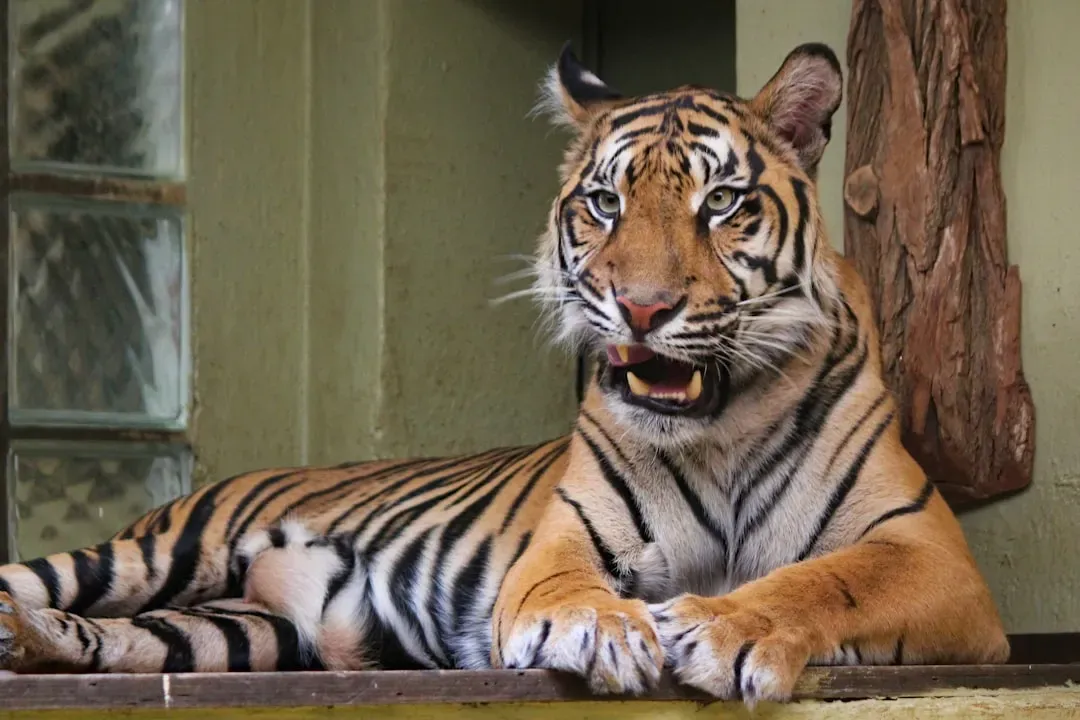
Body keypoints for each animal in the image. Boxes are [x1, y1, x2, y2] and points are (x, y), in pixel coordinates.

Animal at [0, 41, 1009, 705]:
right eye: (604, 203)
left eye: (722, 203)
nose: (643, 307)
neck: (718, 429)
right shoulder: (563, 541)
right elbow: (569, 587)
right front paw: (602, 627)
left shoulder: (934, 557)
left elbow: (824, 580)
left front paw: (727, 626)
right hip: (165, 550)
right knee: (45, 577)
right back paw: (20, 623)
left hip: (237, 630)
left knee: (128, 642)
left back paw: (35, 644)